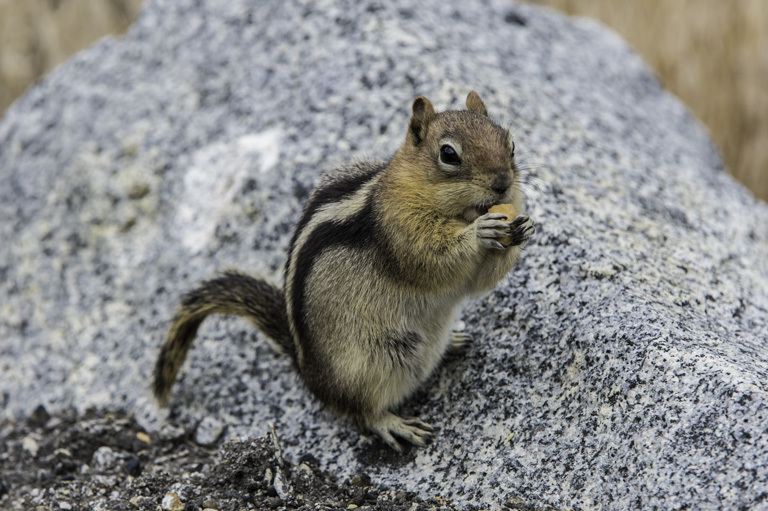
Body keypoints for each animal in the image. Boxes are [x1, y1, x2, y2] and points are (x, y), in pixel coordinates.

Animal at [151, 92, 536, 452]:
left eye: (511, 144)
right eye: (449, 154)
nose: (503, 183)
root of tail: (308, 371)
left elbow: (479, 281)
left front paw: (526, 228)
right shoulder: (401, 231)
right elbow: (435, 260)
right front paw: (480, 232)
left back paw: (453, 340)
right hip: (371, 365)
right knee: (358, 411)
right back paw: (393, 424)